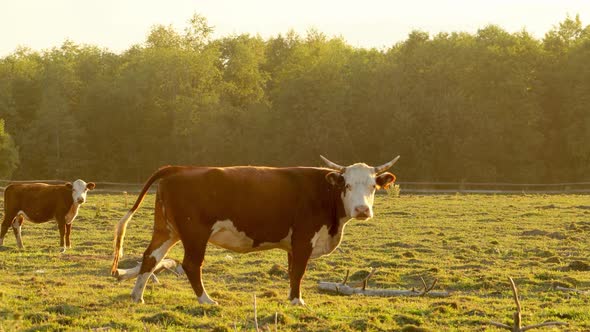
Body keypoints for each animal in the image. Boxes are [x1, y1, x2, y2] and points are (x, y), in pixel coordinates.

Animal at [110, 156, 400, 306]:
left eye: (373, 187)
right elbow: (299, 271)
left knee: (150, 258)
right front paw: (298, 302)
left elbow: (292, 271)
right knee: (191, 264)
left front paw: (291, 298)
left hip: (167, 230)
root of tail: (179, 169)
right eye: (347, 186)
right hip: (194, 234)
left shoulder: (293, 244)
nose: (362, 210)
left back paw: (137, 296)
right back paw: (206, 300)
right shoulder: (304, 239)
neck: (325, 192)